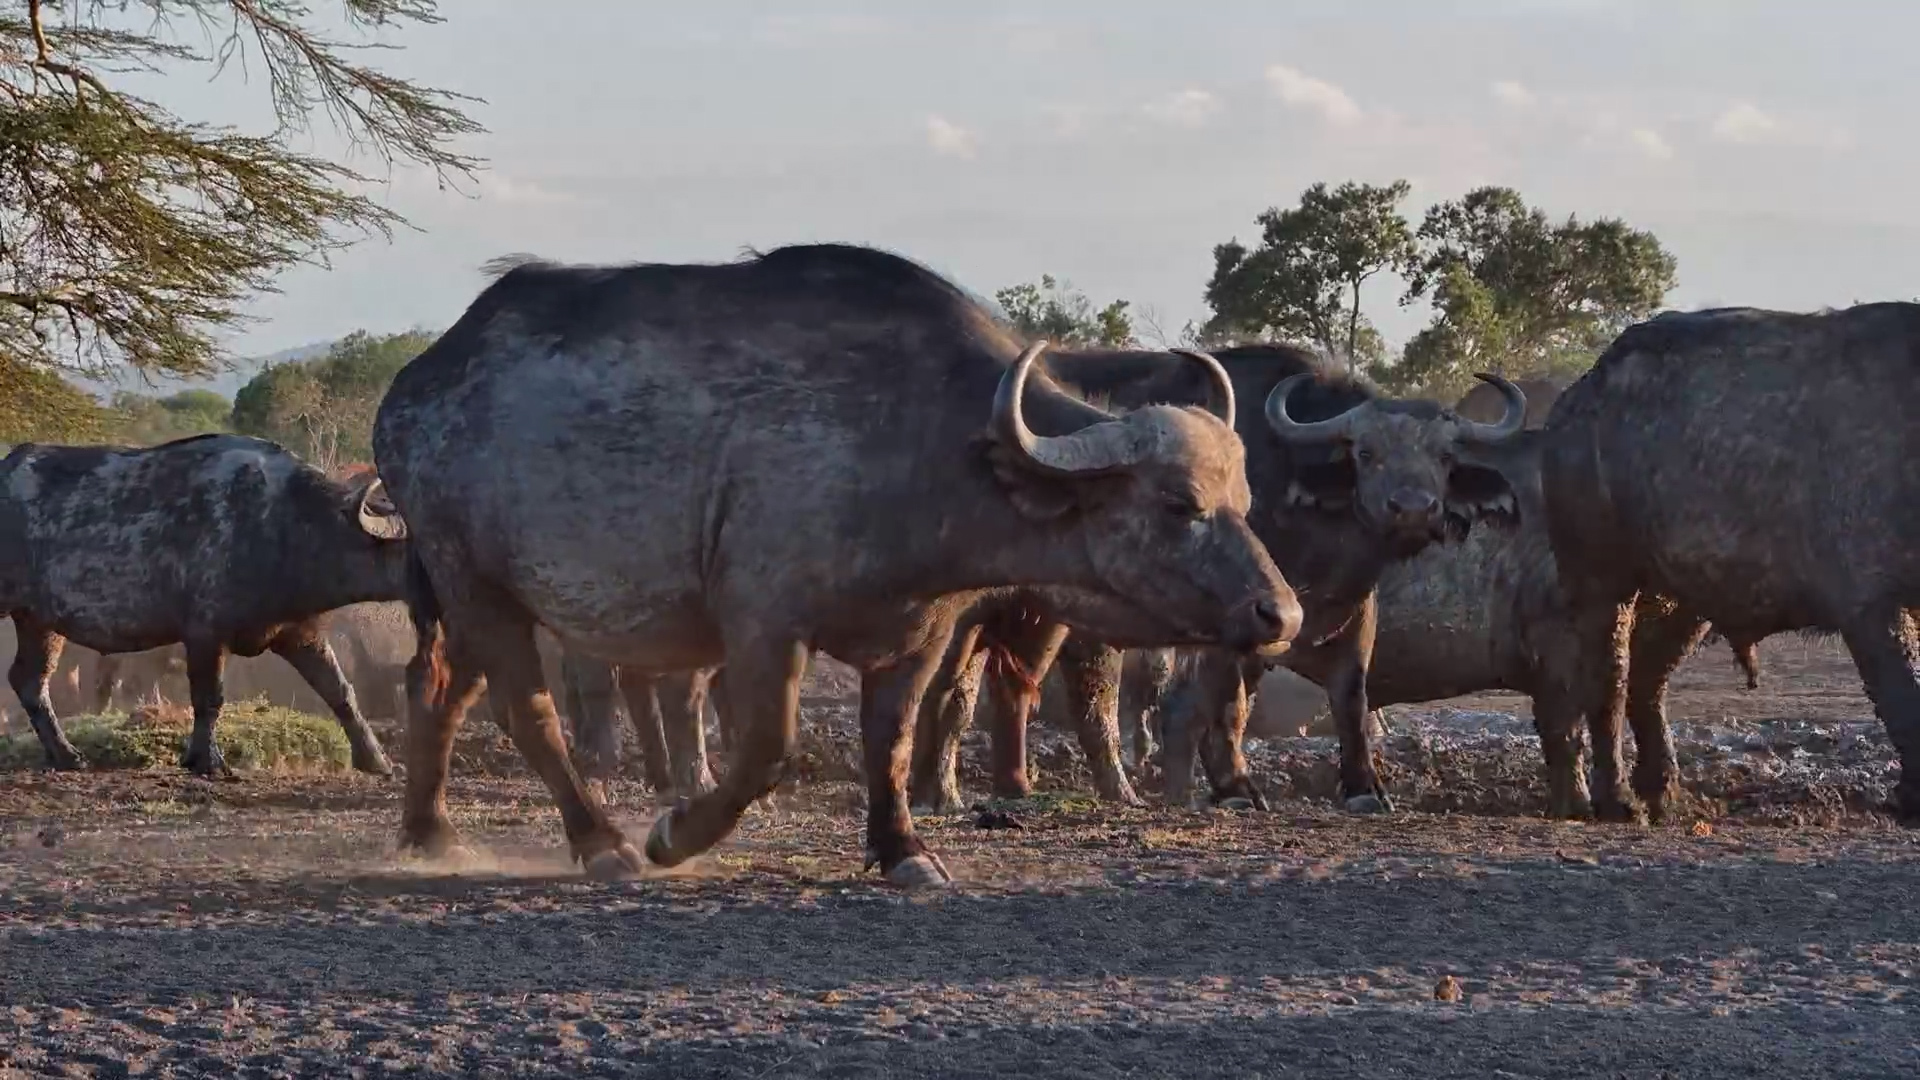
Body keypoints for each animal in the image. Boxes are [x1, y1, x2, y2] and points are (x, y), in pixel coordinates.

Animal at [0, 434, 409, 774]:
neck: (286, 524)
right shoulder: (204, 634)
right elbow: (210, 698)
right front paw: (207, 761)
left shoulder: (299, 633)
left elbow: (340, 691)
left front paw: (377, 760)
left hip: (39, 621)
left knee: (29, 680)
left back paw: (67, 755)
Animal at [372, 243, 1301, 888]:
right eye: (1178, 504)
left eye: (1243, 500)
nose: (1280, 615)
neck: (921, 437)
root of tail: (414, 389)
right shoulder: (763, 627)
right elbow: (764, 750)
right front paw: (674, 834)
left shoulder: (922, 636)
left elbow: (890, 742)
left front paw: (904, 850)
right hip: (475, 584)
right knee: (529, 712)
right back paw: (600, 844)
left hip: (476, 598)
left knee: (438, 689)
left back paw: (428, 833)